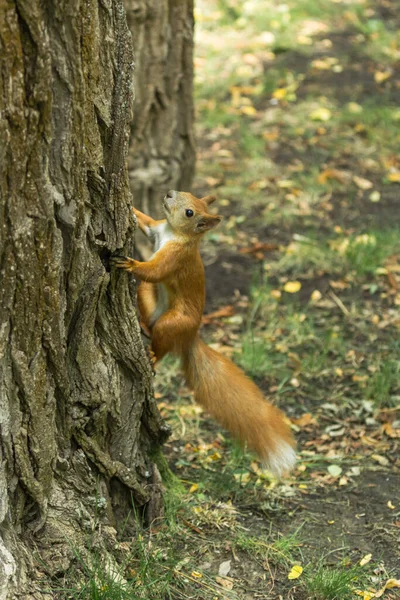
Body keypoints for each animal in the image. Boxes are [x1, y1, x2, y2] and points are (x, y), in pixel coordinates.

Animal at [111, 190, 296, 476]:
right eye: (185, 195)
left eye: (190, 212)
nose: (169, 193)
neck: (174, 233)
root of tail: (190, 336)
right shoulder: (155, 230)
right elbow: (145, 221)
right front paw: (131, 205)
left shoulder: (175, 258)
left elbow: (155, 271)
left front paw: (130, 263)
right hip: (147, 298)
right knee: (148, 311)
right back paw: (143, 326)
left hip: (174, 323)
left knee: (162, 343)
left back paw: (152, 355)